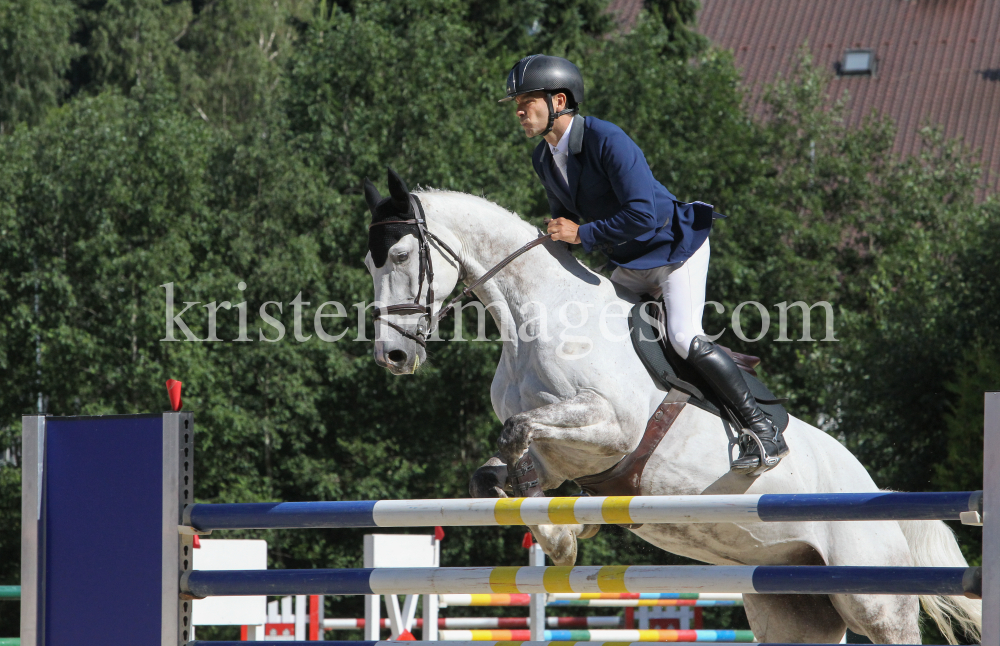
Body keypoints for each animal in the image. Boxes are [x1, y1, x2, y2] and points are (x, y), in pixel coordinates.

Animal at [364, 170, 980, 644]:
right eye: (371, 266)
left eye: (399, 254)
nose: (392, 356)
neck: (536, 317)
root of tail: (879, 494)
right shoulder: (565, 454)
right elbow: (496, 472)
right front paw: (561, 530)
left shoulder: (610, 430)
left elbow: (516, 433)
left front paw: (564, 537)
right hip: (791, 603)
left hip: (873, 599)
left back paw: (762, 442)